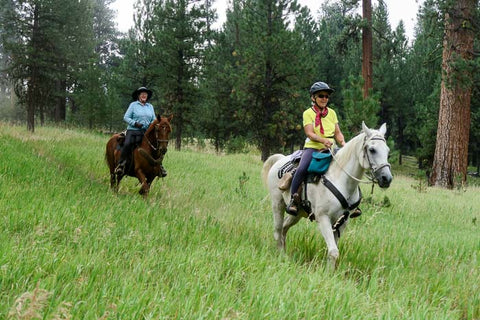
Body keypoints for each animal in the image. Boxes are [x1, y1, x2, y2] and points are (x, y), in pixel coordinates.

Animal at [262, 122, 394, 270]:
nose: (386, 178)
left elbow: (333, 251)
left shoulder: (342, 222)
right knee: (278, 230)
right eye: (372, 150)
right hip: (277, 204)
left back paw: (285, 254)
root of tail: (280, 159)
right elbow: (333, 252)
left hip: (297, 213)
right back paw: (280, 256)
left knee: (284, 228)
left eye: (387, 151)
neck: (341, 179)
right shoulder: (323, 218)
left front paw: (330, 272)